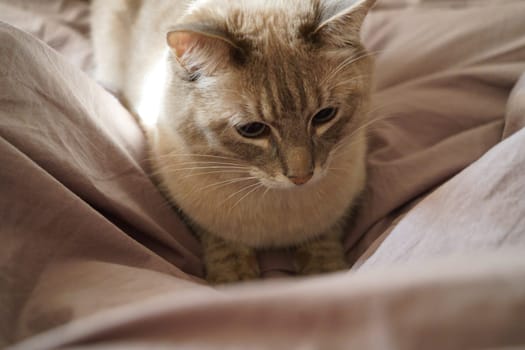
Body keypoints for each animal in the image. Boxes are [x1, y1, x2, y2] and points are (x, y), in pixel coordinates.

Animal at [92, 0, 374, 284]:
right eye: (252, 130)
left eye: (324, 115)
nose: (302, 177)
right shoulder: (191, 211)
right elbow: (225, 245)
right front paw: (236, 280)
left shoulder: (341, 209)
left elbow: (323, 240)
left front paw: (325, 274)